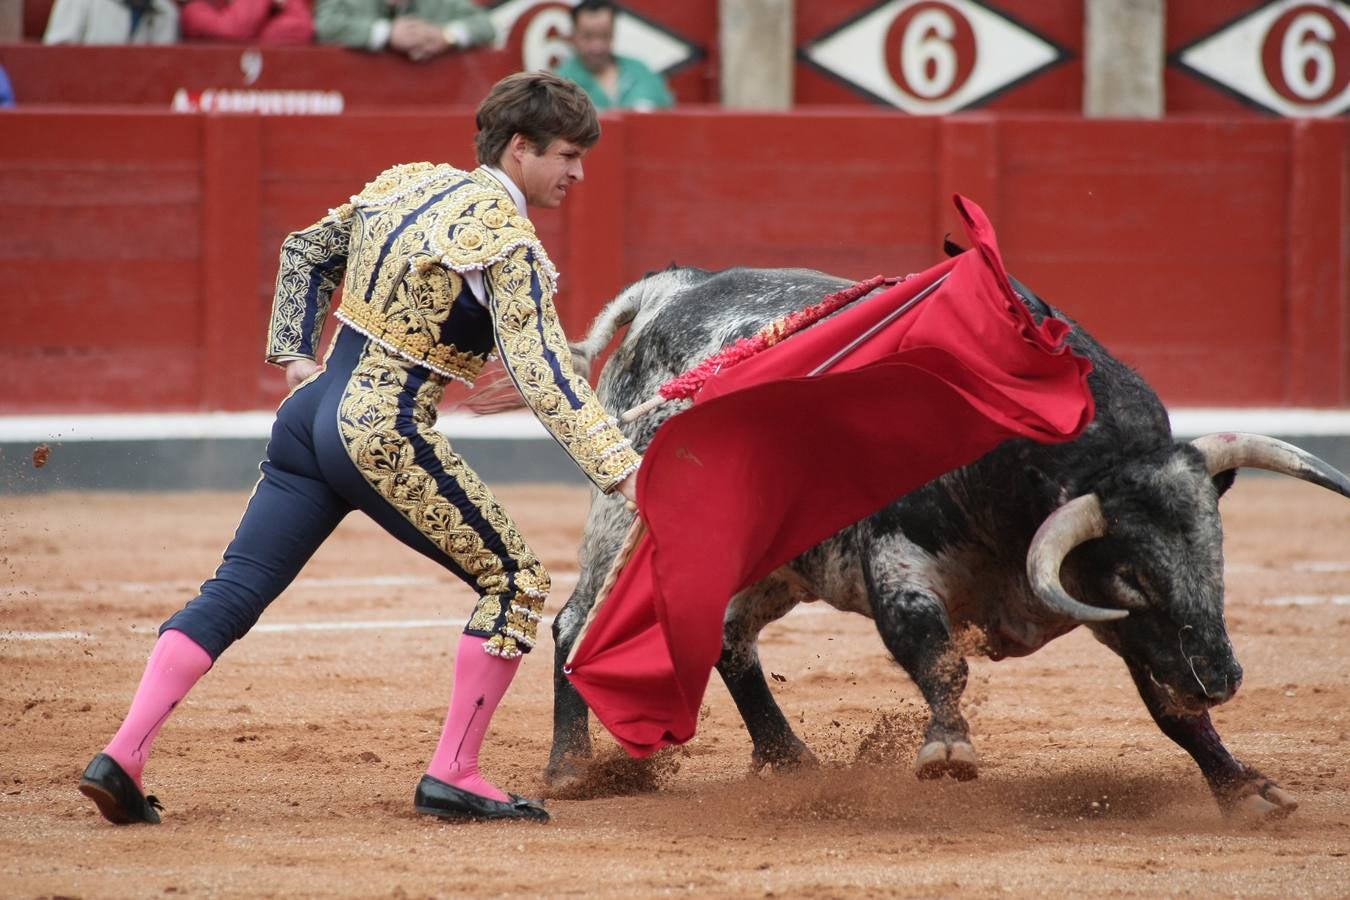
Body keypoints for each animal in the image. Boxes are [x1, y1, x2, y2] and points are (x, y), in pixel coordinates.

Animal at [540, 264, 1350, 820]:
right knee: (576, 624)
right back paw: (572, 770)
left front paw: (1243, 789)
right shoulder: (898, 562)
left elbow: (1167, 706)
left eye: (1215, 559)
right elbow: (937, 655)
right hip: (621, 519)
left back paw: (791, 759)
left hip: (772, 565)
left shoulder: (1118, 617)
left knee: (727, 636)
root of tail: (677, 288)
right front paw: (947, 748)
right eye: (1134, 577)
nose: (1221, 676)